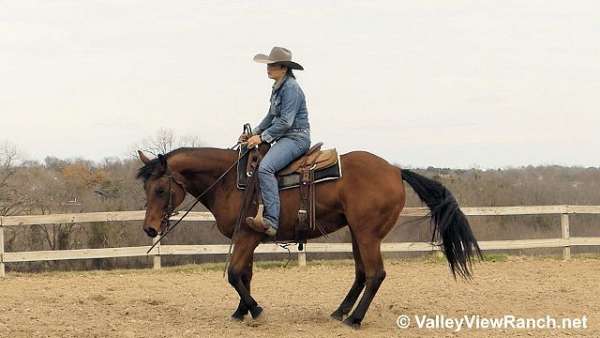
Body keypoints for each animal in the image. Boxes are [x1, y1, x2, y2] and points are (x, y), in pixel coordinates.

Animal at [136, 145, 482, 328]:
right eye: (146, 187)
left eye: (161, 189)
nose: (150, 229)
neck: (230, 183)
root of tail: (396, 170)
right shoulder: (247, 240)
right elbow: (245, 275)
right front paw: (240, 312)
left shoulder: (247, 235)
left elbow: (234, 274)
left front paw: (256, 310)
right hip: (357, 233)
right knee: (361, 273)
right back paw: (341, 311)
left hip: (367, 234)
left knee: (375, 274)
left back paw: (354, 319)